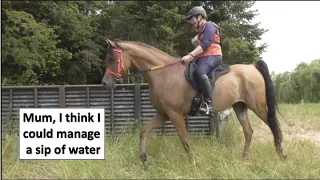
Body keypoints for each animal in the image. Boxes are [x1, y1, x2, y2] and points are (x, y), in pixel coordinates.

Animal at [101, 39, 286, 166]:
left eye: (112, 58)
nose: (105, 83)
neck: (164, 73)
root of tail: (252, 67)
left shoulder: (175, 115)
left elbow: (185, 140)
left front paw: (195, 162)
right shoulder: (163, 114)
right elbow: (144, 131)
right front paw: (144, 159)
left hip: (258, 107)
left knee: (274, 126)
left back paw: (280, 154)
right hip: (240, 106)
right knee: (248, 132)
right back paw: (243, 159)